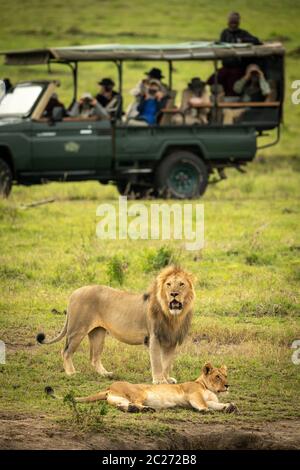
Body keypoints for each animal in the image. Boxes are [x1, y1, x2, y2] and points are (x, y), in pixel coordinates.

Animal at [36, 266, 195, 384]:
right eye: (168, 284)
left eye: (181, 284)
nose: (174, 293)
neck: (173, 316)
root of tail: (74, 292)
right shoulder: (154, 337)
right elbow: (157, 361)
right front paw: (159, 380)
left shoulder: (171, 340)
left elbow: (167, 362)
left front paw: (167, 379)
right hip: (77, 330)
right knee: (66, 352)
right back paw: (71, 373)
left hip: (98, 333)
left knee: (94, 358)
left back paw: (106, 374)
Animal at [45, 364, 238, 414]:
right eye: (218, 376)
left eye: (226, 375)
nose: (227, 385)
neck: (209, 389)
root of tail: (109, 386)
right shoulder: (193, 395)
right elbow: (203, 405)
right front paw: (206, 411)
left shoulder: (209, 399)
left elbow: (218, 405)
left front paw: (230, 407)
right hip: (140, 392)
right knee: (136, 403)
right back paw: (147, 409)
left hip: (118, 399)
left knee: (123, 406)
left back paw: (133, 409)